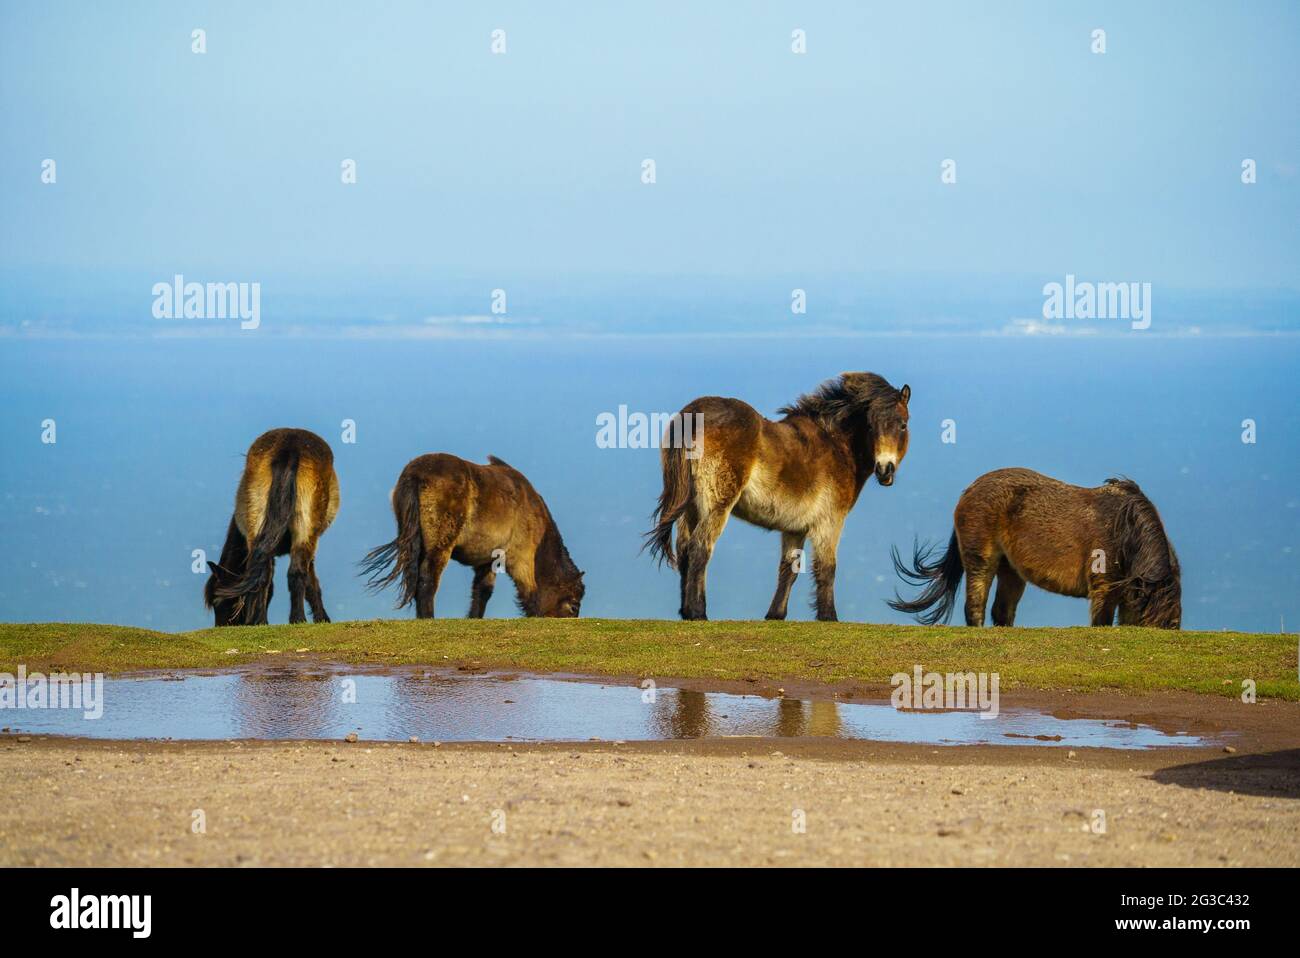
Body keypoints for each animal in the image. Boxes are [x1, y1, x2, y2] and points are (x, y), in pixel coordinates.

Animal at [204, 428, 339, 626]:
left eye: (219, 601)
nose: (221, 628)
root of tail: (289, 447)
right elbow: (311, 581)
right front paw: (322, 618)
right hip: (305, 531)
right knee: (296, 572)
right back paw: (297, 619)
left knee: (263, 574)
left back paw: (262, 621)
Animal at [361, 453, 584, 618]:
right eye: (573, 606)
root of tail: (415, 474)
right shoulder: (521, 560)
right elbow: (529, 593)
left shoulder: (489, 559)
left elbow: (482, 592)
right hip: (440, 547)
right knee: (427, 578)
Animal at [645, 372, 911, 621]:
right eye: (870, 426)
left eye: (902, 425)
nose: (884, 470)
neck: (836, 444)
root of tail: (693, 414)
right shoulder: (830, 521)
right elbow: (827, 568)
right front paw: (828, 617)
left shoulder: (795, 528)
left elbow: (788, 569)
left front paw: (776, 614)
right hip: (717, 505)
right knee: (700, 547)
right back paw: (697, 612)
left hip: (690, 508)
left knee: (684, 550)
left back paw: (685, 611)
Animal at [889, 468, 1181, 628]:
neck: (1124, 530)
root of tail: (969, 490)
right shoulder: (1105, 589)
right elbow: (1102, 622)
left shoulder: (1127, 596)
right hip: (981, 561)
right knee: (976, 607)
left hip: (1011, 571)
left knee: (1002, 611)